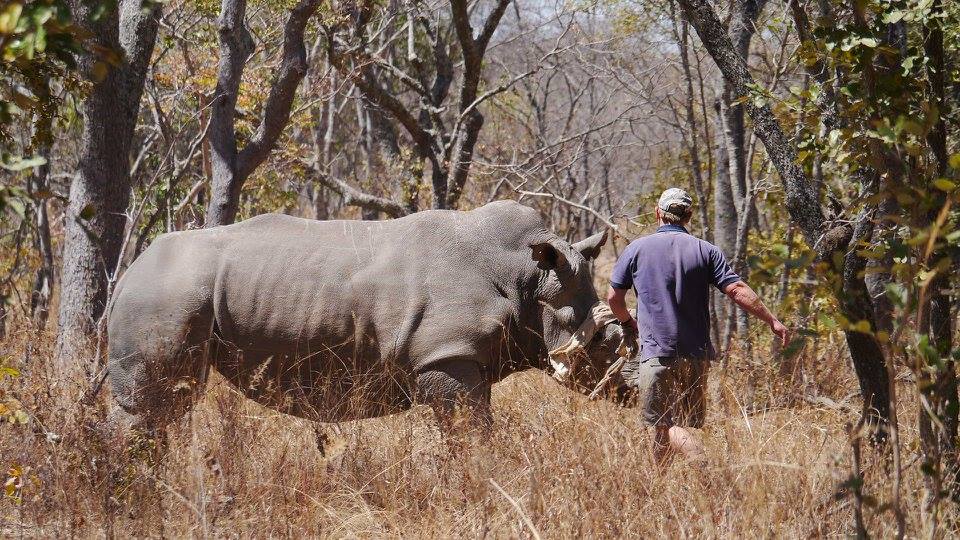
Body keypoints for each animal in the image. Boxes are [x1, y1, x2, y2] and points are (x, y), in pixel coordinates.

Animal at [107, 200, 632, 432]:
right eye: (603, 343)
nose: (633, 392)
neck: (526, 276)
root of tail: (129, 272)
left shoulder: (460, 358)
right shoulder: (446, 355)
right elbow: (471, 431)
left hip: (173, 295)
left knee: (168, 405)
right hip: (163, 295)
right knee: (151, 405)